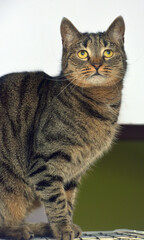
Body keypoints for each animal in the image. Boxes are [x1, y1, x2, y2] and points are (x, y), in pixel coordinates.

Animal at [0, 16, 126, 240]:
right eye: (83, 53)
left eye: (108, 52)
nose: (96, 64)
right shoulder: (45, 164)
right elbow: (56, 201)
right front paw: (62, 229)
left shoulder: (73, 172)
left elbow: (67, 202)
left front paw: (64, 227)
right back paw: (20, 230)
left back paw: (38, 228)